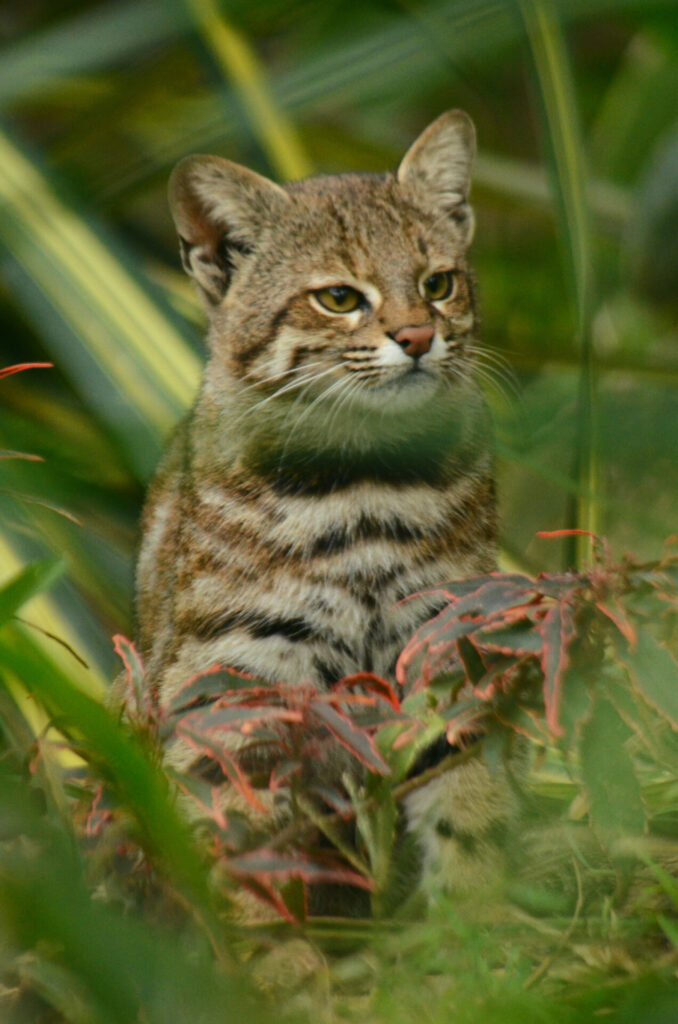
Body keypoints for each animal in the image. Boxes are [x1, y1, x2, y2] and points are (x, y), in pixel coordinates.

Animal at [133, 112, 520, 905]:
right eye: (339, 299)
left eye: (438, 284)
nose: (418, 337)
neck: (364, 480)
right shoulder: (231, 673)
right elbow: (238, 838)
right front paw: (270, 940)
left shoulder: (446, 637)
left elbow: (469, 801)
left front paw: (475, 916)